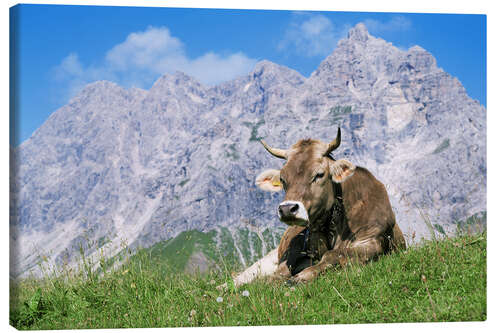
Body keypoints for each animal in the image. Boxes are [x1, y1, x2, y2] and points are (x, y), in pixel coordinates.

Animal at [227, 127, 406, 286]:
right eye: (283, 179)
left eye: (319, 174)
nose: (287, 209)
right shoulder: (297, 250)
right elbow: (282, 270)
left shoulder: (372, 241)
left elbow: (334, 255)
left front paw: (301, 277)